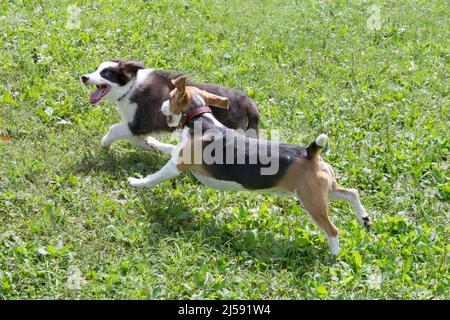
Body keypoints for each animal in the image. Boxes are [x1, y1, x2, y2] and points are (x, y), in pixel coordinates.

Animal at [79, 60, 258, 155]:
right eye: (96, 69)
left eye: (106, 73)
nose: (84, 77)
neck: (130, 87)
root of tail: (248, 102)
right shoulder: (140, 127)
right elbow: (136, 139)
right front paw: (151, 145)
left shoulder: (140, 122)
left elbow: (114, 128)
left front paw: (105, 144)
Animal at [127, 76, 372, 256]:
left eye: (169, 97)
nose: (161, 105)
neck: (201, 118)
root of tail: (310, 153)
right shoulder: (178, 155)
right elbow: (165, 147)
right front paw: (152, 142)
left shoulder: (176, 165)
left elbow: (153, 177)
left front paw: (136, 182)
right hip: (325, 190)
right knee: (351, 193)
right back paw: (365, 218)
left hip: (312, 202)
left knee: (333, 230)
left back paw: (334, 256)